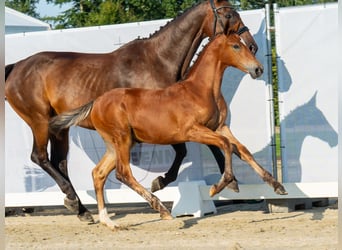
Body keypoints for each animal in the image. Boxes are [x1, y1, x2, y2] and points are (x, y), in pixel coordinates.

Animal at [5, 0, 258, 223]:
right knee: (39, 157)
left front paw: (233, 183)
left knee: (59, 162)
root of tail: (16, 67)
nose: (252, 45)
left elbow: (211, 144)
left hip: (60, 129)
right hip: (39, 120)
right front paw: (161, 182)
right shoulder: (167, 122)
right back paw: (74, 201)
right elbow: (185, 150)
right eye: (229, 14)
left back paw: (80, 208)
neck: (159, 60)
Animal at [49, 34, 288, 229]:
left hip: (115, 144)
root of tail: (96, 102)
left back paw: (108, 221)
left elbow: (243, 150)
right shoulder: (193, 131)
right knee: (123, 173)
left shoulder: (220, 127)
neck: (200, 90)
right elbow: (225, 145)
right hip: (122, 139)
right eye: (236, 46)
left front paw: (278, 186)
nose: (257, 69)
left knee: (98, 173)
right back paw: (163, 210)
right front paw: (218, 187)